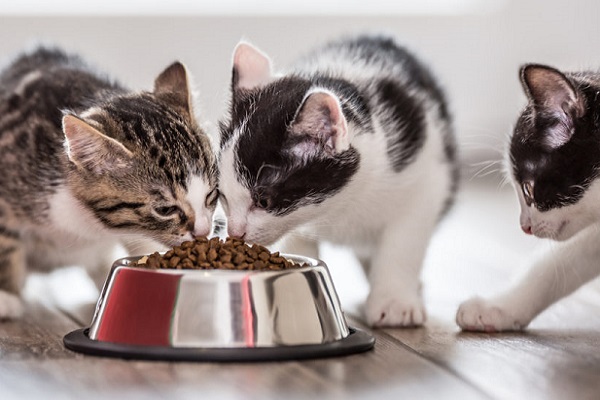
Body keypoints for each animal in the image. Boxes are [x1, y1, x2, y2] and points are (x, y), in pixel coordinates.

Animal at [218, 34, 458, 326]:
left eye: (263, 200)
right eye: (223, 196)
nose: (235, 233)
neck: (340, 205)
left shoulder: (427, 181)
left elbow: (403, 243)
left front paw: (394, 301)